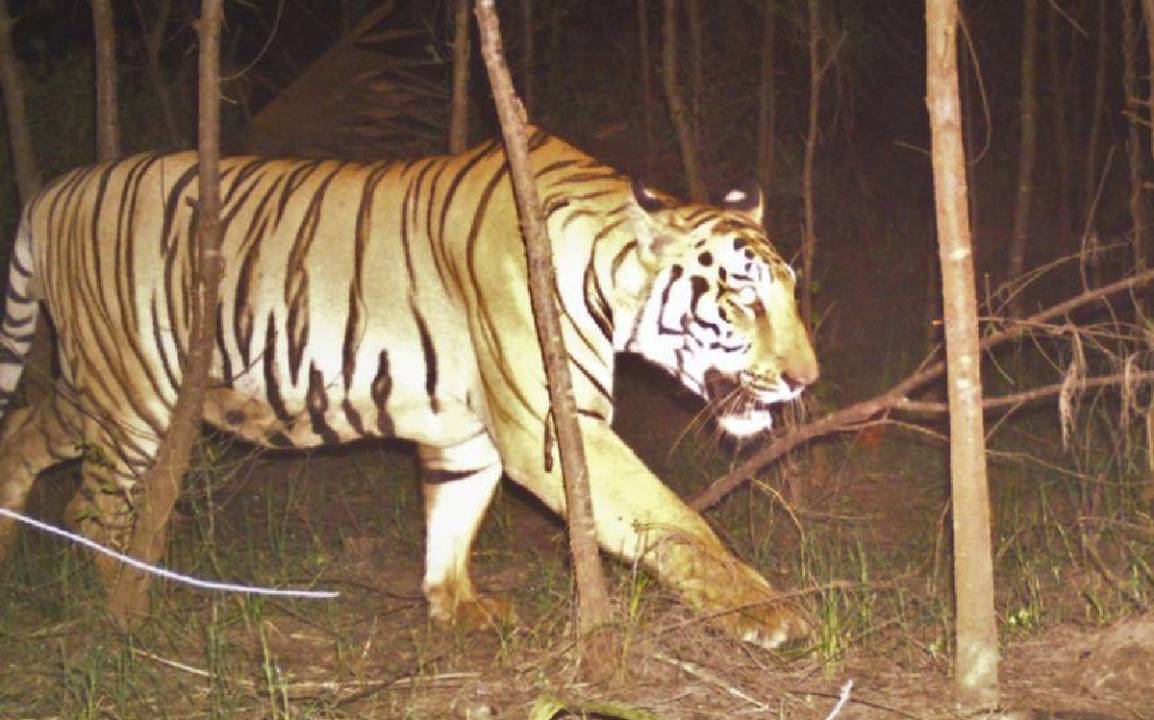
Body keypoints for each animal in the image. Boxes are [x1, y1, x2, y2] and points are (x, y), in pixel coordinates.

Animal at [0, 129, 818, 647]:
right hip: (134, 394)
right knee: (91, 508)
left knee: (22, 433)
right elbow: (675, 519)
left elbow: (453, 518)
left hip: (100, 386)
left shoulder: (469, 432)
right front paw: (768, 612)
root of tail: (52, 192)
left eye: (790, 292)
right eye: (745, 299)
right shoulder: (556, 428)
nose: (806, 379)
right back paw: (125, 606)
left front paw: (455, 607)